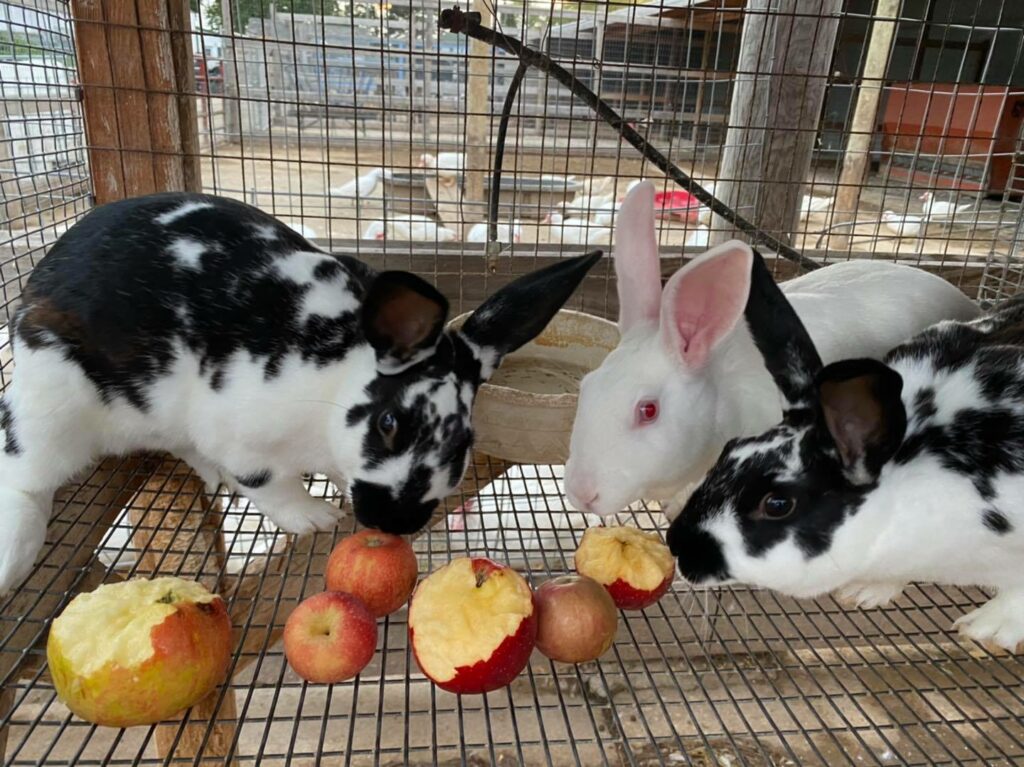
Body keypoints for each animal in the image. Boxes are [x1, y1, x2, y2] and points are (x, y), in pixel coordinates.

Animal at [0, 192, 602, 596]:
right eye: (388, 424)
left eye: (462, 446)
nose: (393, 522)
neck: (328, 393)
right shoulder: (239, 431)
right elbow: (266, 483)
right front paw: (316, 518)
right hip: (52, 404)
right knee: (24, 473)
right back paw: (15, 557)